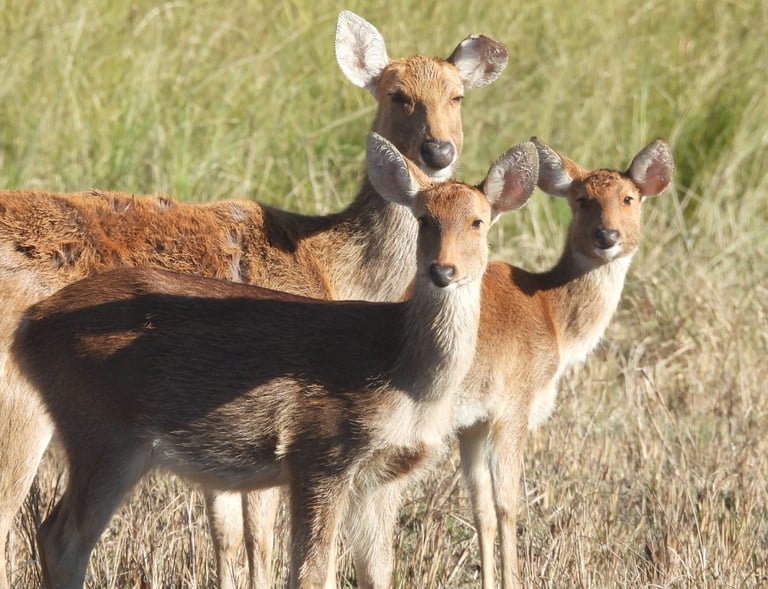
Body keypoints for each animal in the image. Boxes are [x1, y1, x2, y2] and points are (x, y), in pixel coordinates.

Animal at [0, 10, 509, 589]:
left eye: (457, 96)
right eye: (396, 95)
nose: (438, 152)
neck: (331, 266)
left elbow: (225, 536)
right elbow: (260, 539)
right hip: (22, 408)